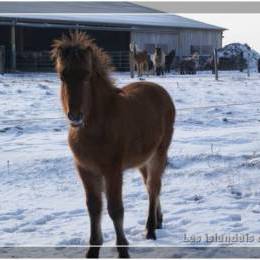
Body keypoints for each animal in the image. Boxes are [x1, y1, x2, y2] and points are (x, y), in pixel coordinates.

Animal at [51, 32, 176, 258]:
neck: (96, 126)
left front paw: (123, 249)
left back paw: (151, 229)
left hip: (159, 153)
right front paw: (93, 249)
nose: (75, 116)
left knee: (153, 187)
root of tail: (161, 91)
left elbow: (115, 209)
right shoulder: (85, 169)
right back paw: (157, 221)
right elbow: (94, 207)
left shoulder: (112, 171)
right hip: (142, 160)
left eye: (86, 75)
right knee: (152, 186)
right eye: (62, 76)